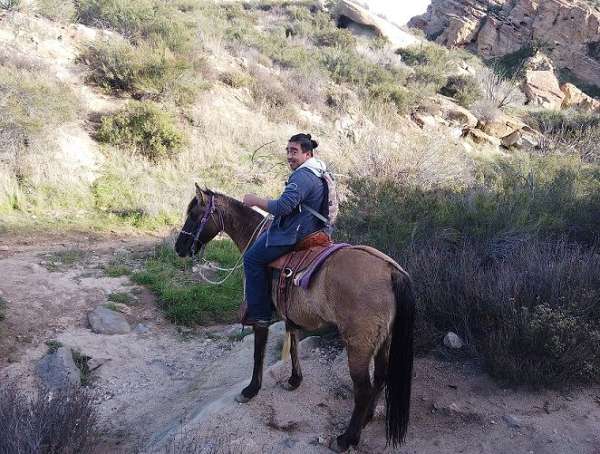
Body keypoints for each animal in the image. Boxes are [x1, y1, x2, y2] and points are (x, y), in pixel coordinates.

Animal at [176, 184, 414, 450]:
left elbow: (259, 353)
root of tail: (391, 270)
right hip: (385, 340)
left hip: (358, 346)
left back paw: (346, 439)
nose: (179, 247)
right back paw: (366, 419)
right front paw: (294, 380)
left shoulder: (261, 316)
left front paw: (251, 390)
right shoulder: (290, 315)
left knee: (363, 389)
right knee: (381, 378)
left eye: (194, 214)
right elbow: (293, 346)